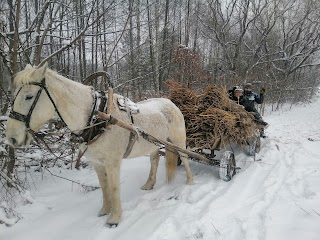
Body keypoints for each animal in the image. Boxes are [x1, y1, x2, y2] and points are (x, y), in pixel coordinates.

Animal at [5, 63, 192, 227]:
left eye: (29, 96)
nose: (12, 138)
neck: (97, 117)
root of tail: (171, 102)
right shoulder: (97, 162)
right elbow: (104, 186)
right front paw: (105, 210)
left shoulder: (112, 162)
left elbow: (114, 188)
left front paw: (114, 218)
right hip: (153, 143)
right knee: (154, 159)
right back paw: (149, 184)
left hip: (178, 140)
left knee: (185, 157)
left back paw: (190, 181)